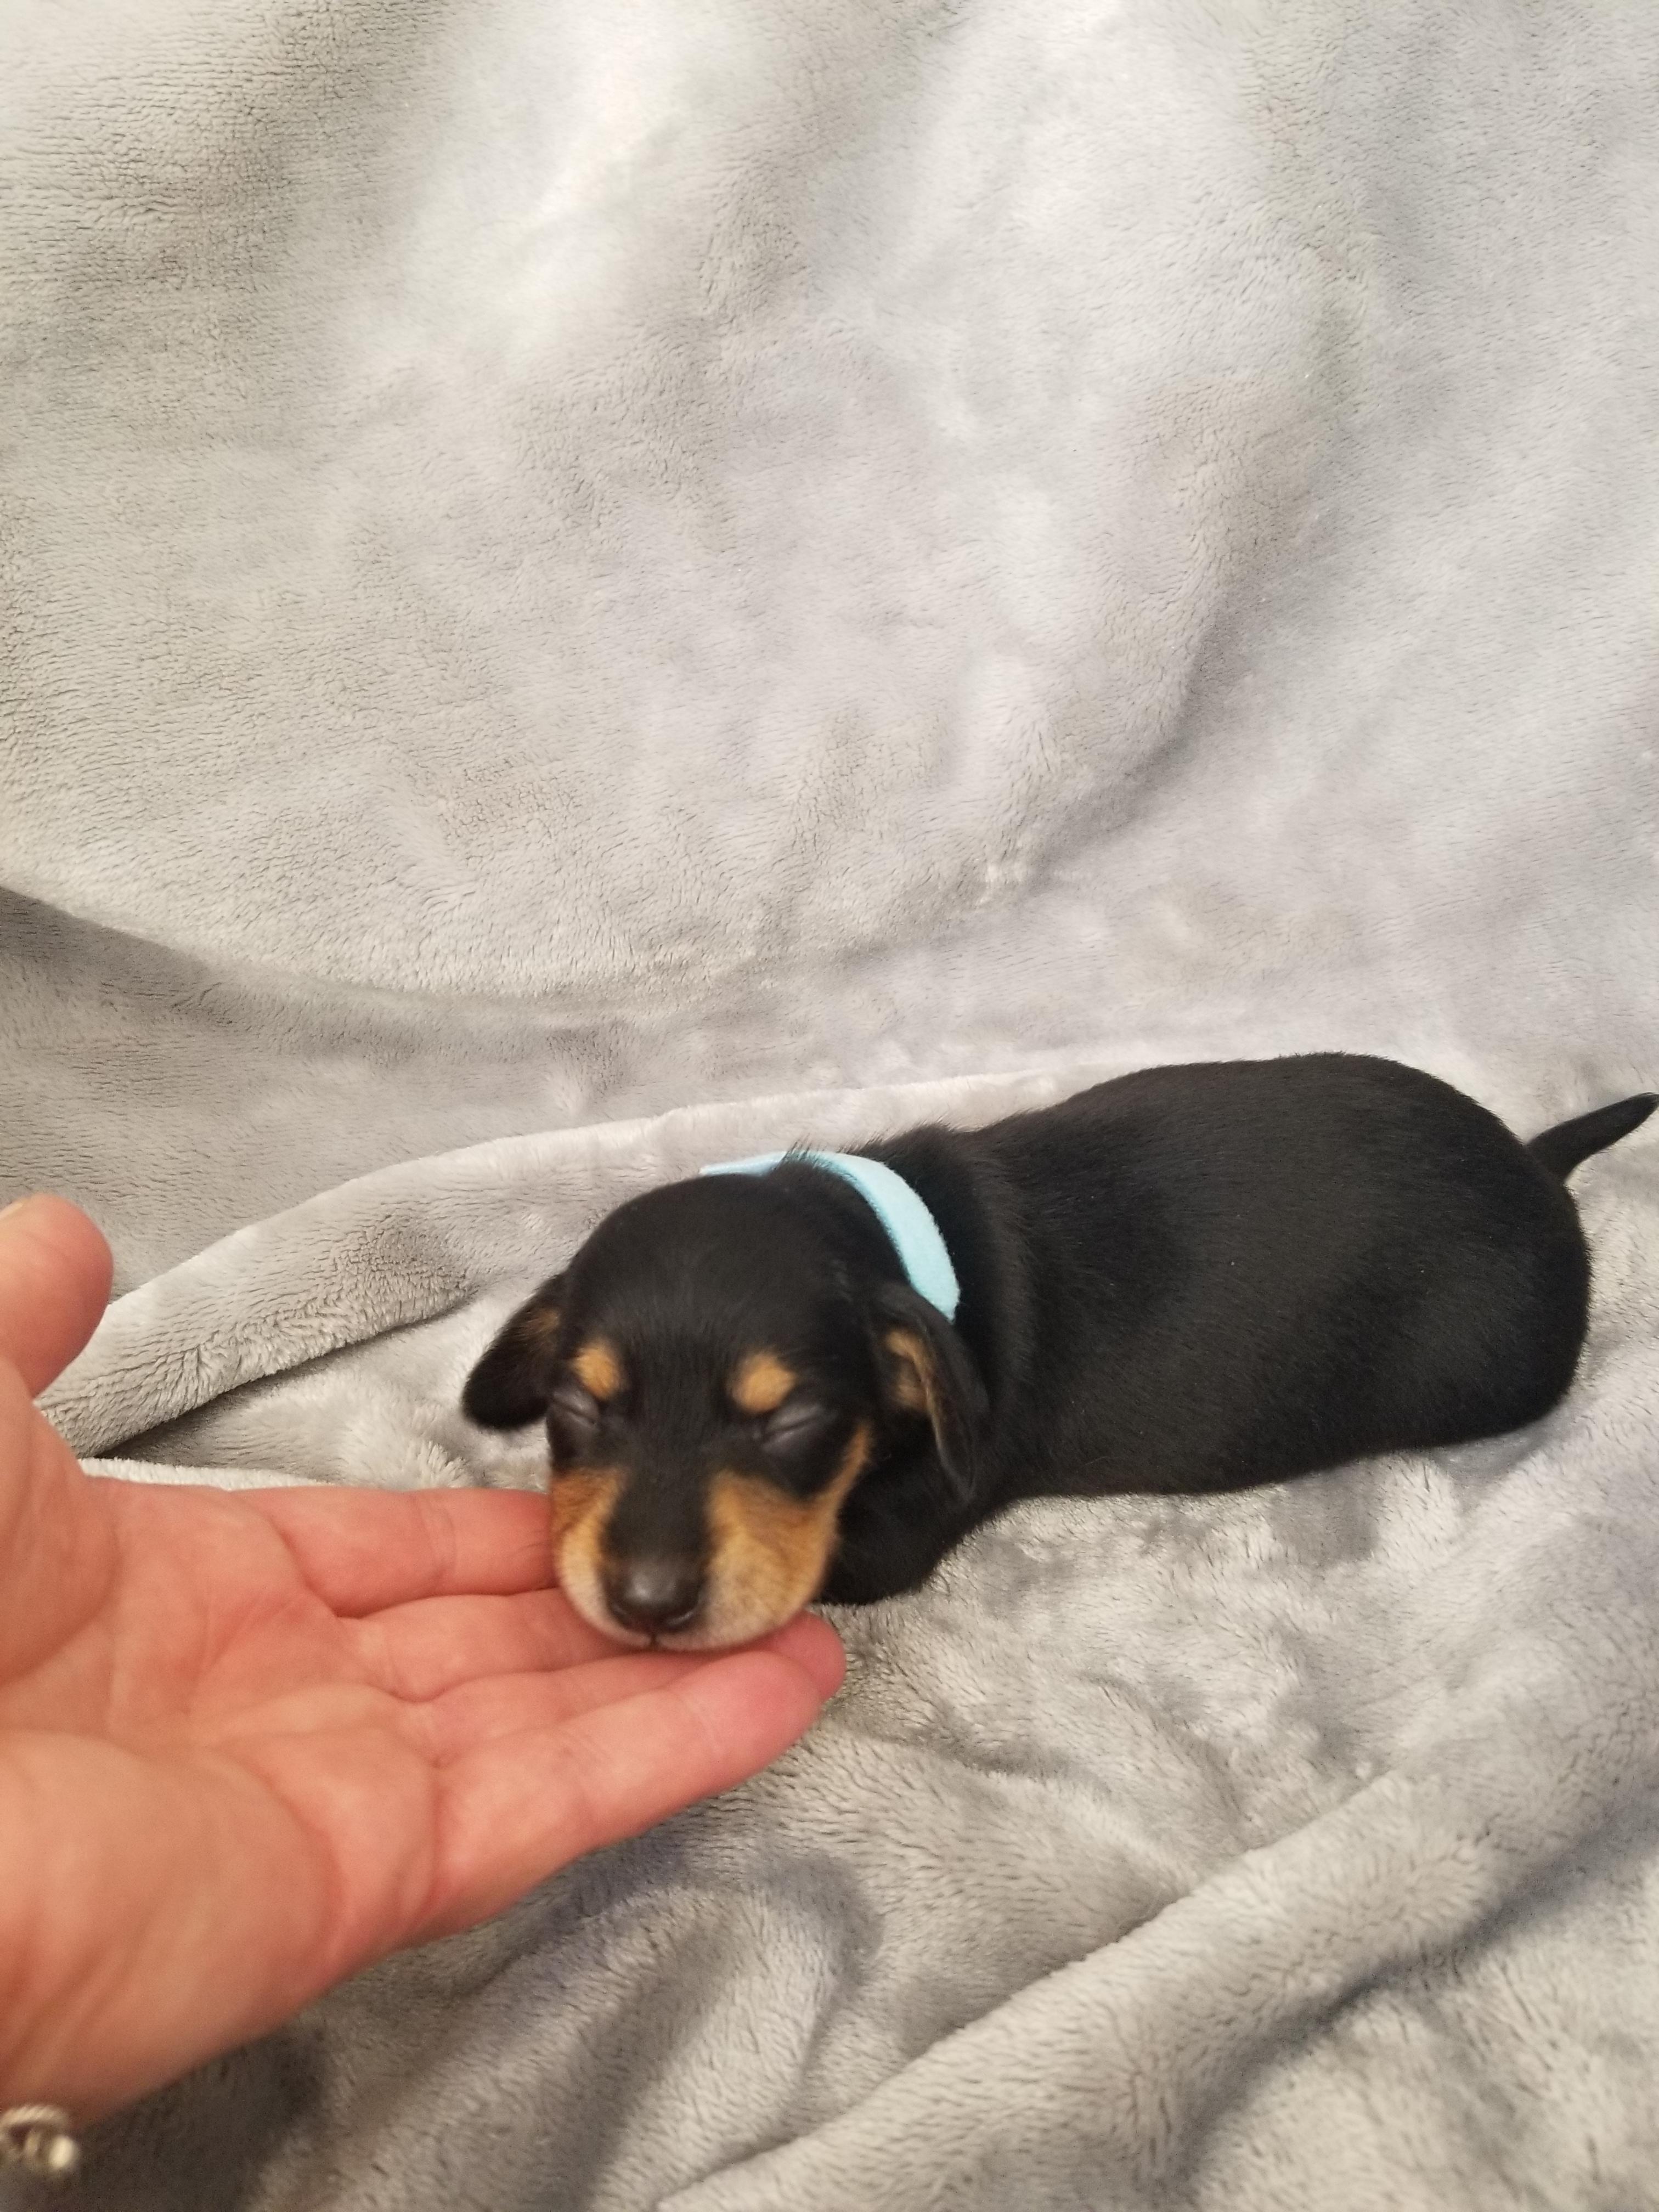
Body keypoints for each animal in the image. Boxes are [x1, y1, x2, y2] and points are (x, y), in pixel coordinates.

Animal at [462, 1054, 1654, 1650]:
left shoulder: (891, 1534)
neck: (892, 1232)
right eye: (576, 1408)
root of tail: (1537, 1167)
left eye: (794, 1421)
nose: (646, 1602)